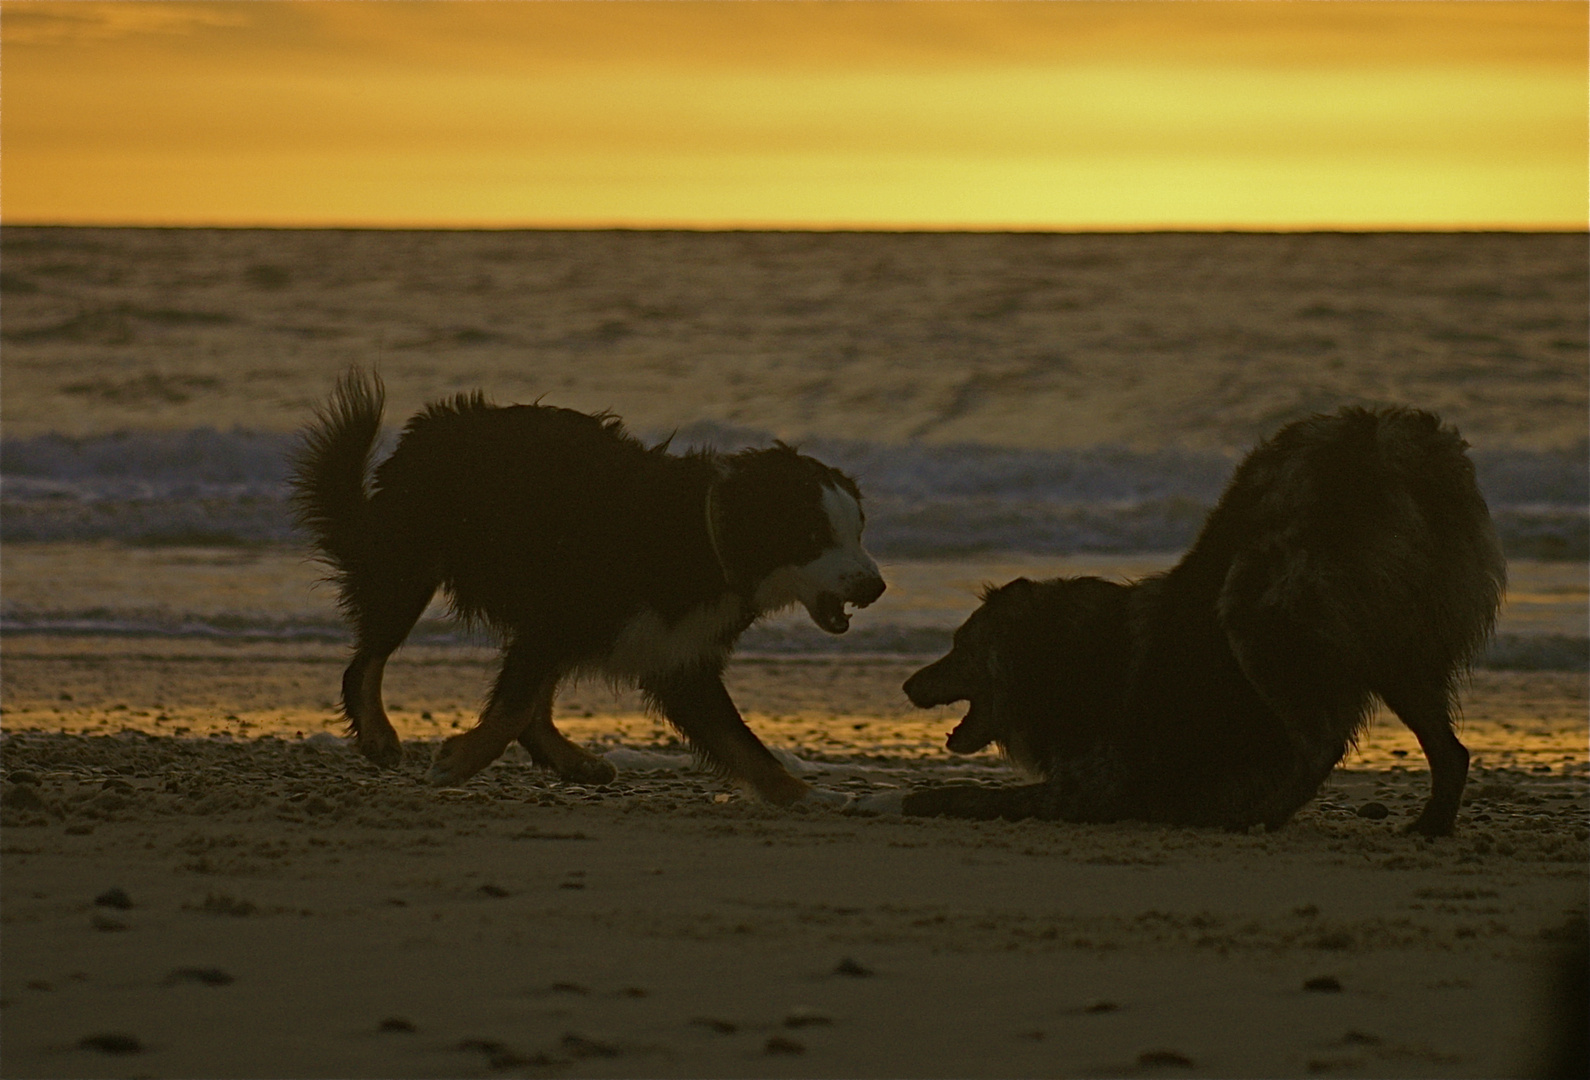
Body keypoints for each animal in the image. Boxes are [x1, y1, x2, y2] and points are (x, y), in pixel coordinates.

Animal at [294, 372, 890, 801]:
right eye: (814, 536)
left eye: (858, 531)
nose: (876, 586)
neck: (704, 535)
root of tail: (429, 426)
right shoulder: (558, 614)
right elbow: (511, 707)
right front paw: (457, 762)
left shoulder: (680, 652)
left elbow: (742, 743)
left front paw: (809, 795)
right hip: (410, 568)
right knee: (366, 661)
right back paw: (379, 735)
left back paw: (574, 761)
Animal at [909, 405, 1500, 833]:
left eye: (960, 645)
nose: (908, 685)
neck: (1063, 656)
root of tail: (1394, 439)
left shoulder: (1092, 787)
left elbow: (974, 794)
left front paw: (927, 796)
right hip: (1398, 654)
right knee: (1451, 754)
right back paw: (1430, 825)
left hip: (1255, 614)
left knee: (1322, 743)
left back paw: (1257, 817)